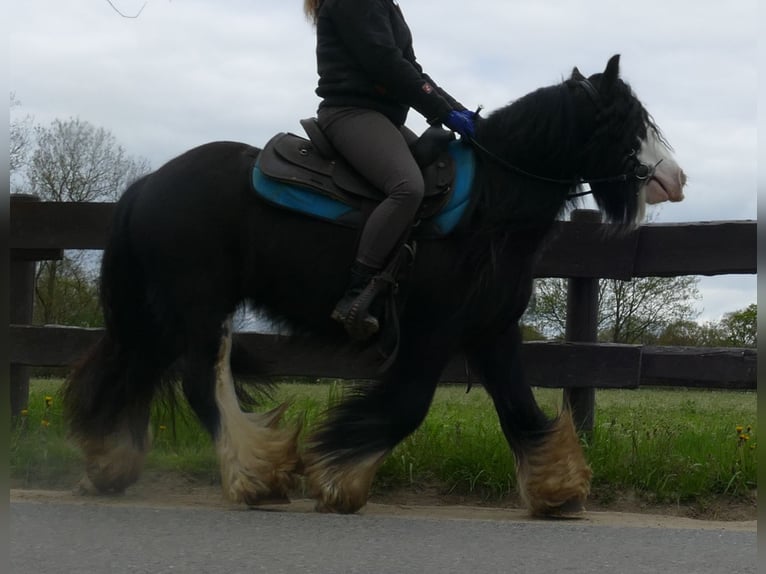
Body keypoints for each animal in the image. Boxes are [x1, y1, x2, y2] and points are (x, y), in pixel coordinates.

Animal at [63, 56, 688, 516]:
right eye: (625, 122)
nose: (675, 178)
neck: (490, 205)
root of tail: (146, 184)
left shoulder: (492, 330)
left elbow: (520, 407)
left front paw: (557, 490)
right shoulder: (432, 330)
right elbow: (408, 405)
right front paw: (339, 479)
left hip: (165, 312)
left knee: (136, 370)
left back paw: (110, 463)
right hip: (197, 307)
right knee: (197, 382)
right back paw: (254, 476)